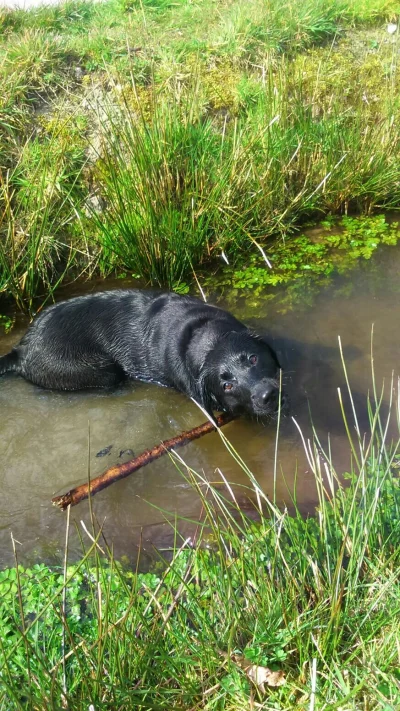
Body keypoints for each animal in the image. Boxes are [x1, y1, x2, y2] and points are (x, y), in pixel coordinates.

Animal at [0, 290, 282, 420]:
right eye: (227, 385)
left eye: (254, 359)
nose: (267, 395)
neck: (205, 336)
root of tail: (21, 349)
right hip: (99, 369)